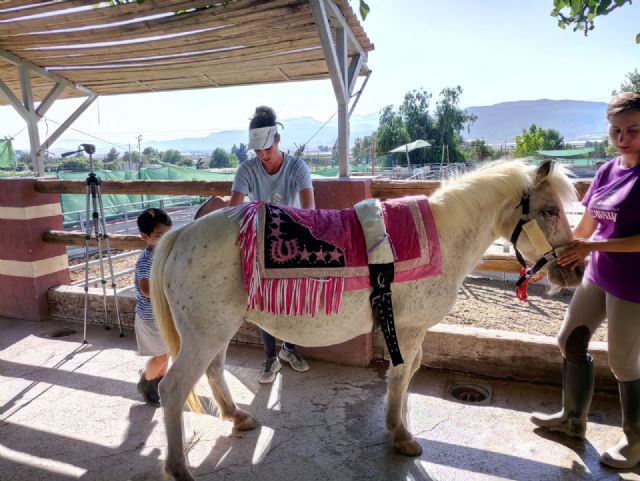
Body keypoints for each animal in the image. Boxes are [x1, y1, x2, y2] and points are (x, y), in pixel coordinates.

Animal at [150, 160, 583, 481]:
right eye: (549, 210)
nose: (575, 271)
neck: (441, 239)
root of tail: (182, 235)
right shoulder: (408, 330)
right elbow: (402, 374)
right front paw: (401, 434)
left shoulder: (408, 332)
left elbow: (409, 372)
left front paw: (399, 422)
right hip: (204, 335)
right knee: (172, 389)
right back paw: (178, 468)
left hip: (215, 331)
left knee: (214, 371)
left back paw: (237, 416)